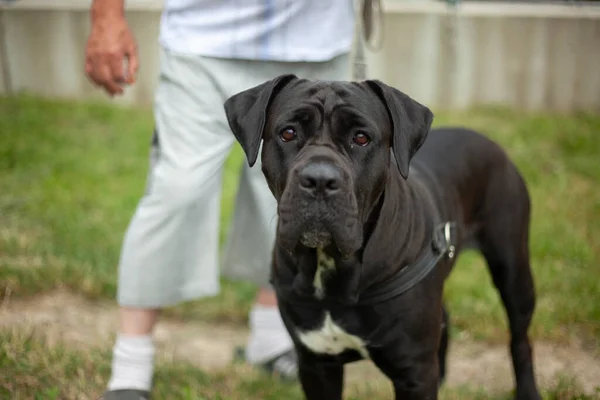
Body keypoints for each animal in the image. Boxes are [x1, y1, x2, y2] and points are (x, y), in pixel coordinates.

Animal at [226, 76, 544, 400]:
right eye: (288, 133)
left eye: (361, 138)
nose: (319, 179)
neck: (332, 266)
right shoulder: (317, 365)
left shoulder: (414, 373)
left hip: (513, 271)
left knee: (520, 339)